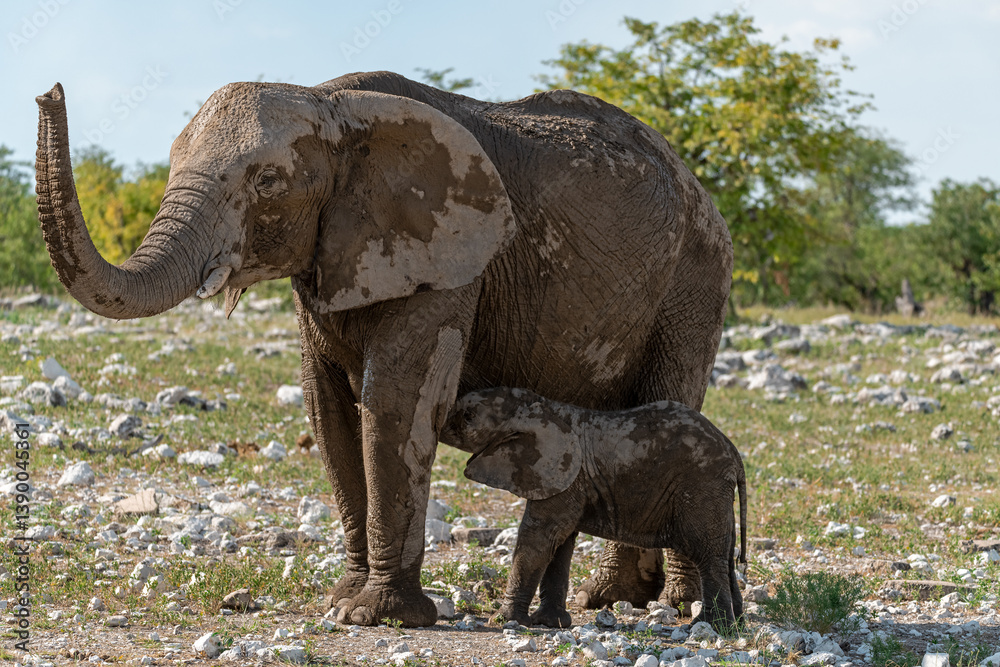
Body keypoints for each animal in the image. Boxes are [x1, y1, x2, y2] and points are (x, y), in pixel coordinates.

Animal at [441, 386, 747, 630]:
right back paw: (737, 624)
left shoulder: (565, 475)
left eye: (468, 416)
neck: (536, 408)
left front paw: (506, 621)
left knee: (708, 554)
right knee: (726, 555)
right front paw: (550, 623)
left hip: (701, 488)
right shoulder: (568, 482)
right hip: (715, 494)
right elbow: (561, 542)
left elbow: (540, 536)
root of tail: (734, 453)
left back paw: (710, 627)